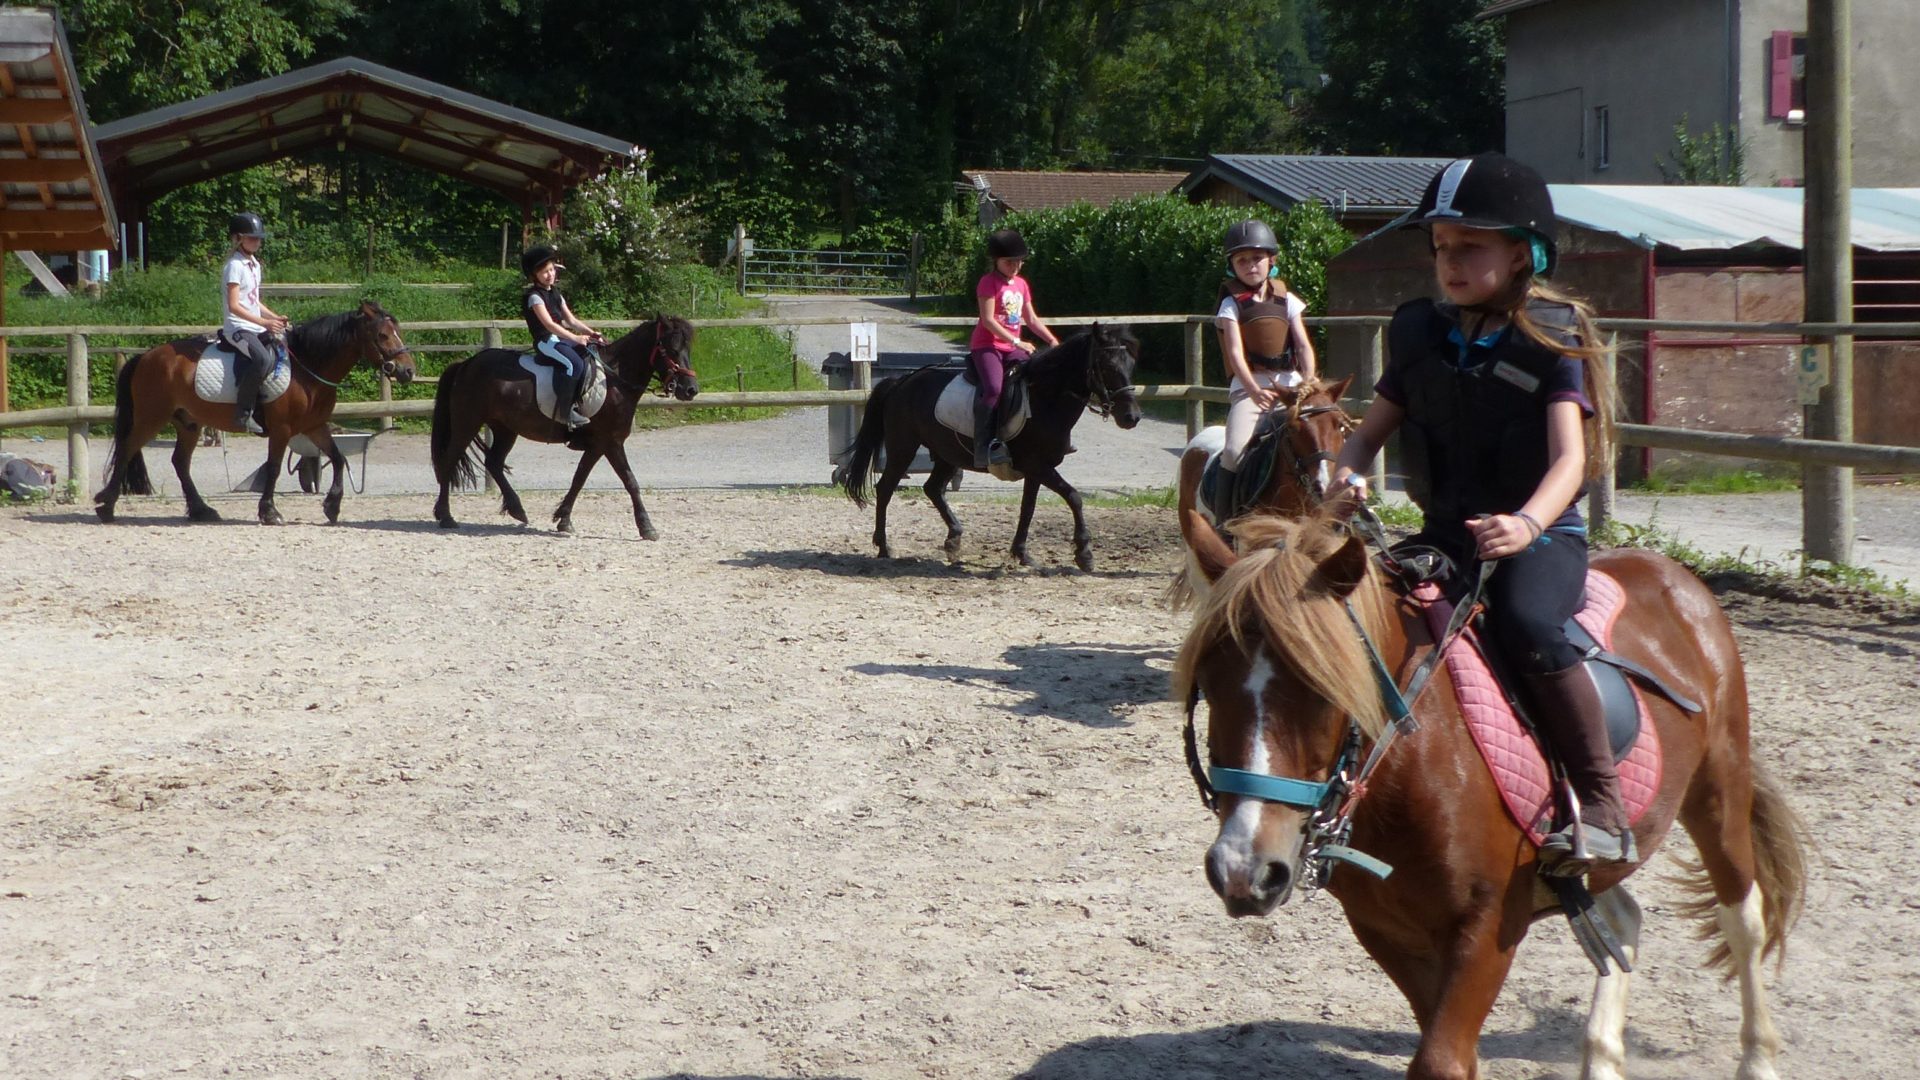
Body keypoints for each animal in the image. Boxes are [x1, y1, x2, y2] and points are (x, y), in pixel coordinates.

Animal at [91, 299, 414, 522]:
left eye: (397, 331)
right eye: (383, 335)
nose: (408, 370)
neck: (307, 368)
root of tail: (146, 357)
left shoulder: (314, 426)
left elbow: (337, 459)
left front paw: (332, 506)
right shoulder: (282, 430)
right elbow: (273, 468)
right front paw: (269, 512)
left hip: (188, 423)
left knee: (180, 462)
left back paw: (201, 510)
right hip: (151, 417)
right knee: (128, 449)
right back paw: (107, 506)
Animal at [432, 315, 702, 538]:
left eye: (687, 349)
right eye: (671, 349)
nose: (690, 390)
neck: (615, 382)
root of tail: (467, 364)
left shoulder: (598, 444)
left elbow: (579, 478)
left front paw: (563, 519)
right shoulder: (611, 441)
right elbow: (630, 481)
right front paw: (647, 527)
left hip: (505, 429)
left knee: (494, 463)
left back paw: (517, 509)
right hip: (467, 423)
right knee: (449, 461)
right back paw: (446, 516)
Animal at [829, 320, 1136, 568]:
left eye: (1132, 365)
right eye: (1107, 366)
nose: (1131, 417)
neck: (1046, 398)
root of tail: (901, 381)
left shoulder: (1037, 468)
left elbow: (1028, 508)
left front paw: (1022, 553)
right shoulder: (1037, 465)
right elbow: (1074, 497)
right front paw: (1084, 554)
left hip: (947, 454)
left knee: (933, 488)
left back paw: (953, 540)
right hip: (903, 448)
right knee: (885, 489)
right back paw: (884, 546)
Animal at [1175, 511, 1804, 1076]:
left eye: (1325, 691)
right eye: (1207, 685)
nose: (1245, 869)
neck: (1412, 760)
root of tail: (1672, 576)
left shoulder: (1488, 927)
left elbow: (1441, 1062)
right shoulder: (1386, 931)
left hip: (1717, 787)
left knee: (1742, 919)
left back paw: (1758, 1059)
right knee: (1624, 918)